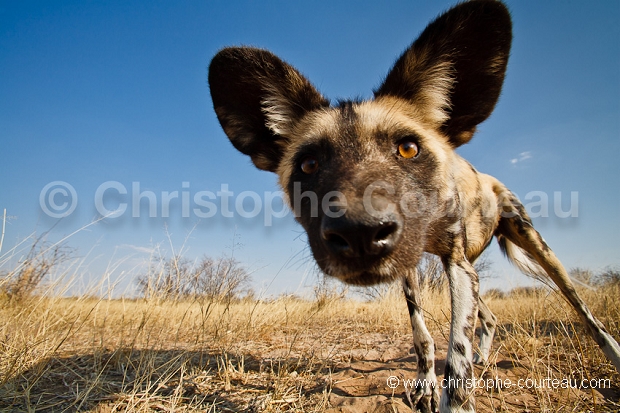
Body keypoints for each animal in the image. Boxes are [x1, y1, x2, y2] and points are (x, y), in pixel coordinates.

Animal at [209, 0, 620, 408]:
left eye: (408, 148)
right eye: (309, 164)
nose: (360, 234)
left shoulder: (455, 265)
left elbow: (456, 359)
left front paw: (455, 396)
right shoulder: (414, 270)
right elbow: (423, 336)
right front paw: (426, 384)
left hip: (535, 249)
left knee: (583, 312)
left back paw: (610, 353)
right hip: (472, 271)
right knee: (488, 317)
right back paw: (484, 359)